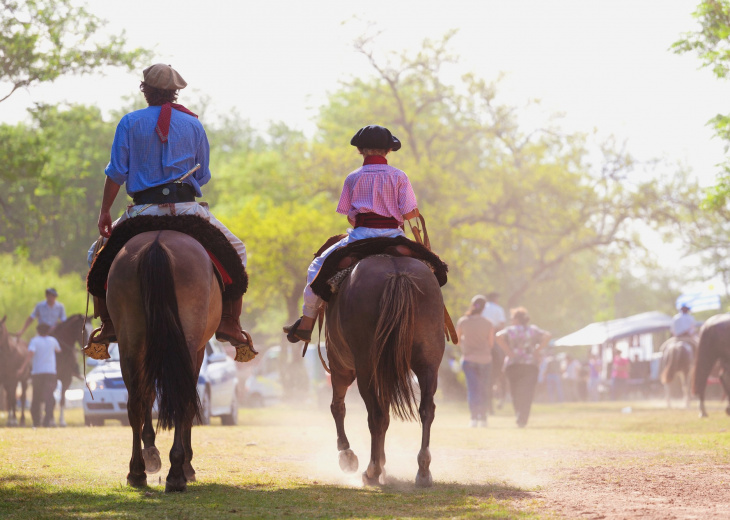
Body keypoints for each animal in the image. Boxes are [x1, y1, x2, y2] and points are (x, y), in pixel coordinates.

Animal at [105, 232, 219, 492]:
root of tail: (157, 242)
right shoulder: (197, 351)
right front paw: (185, 465)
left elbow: (147, 396)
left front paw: (151, 452)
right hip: (186, 341)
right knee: (179, 399)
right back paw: (177, 473)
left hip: (130, 340)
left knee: (136, 403)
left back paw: (137, 472)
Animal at [324, 256, 444, 488]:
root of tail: (398, 274)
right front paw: (382, 461)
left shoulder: (340, 366)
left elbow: (338, 407)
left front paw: (347, 456)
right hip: (429, 362)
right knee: (426, 409)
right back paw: (423, 470)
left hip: (364, 367)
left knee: (375, 415)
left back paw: (371, 470)